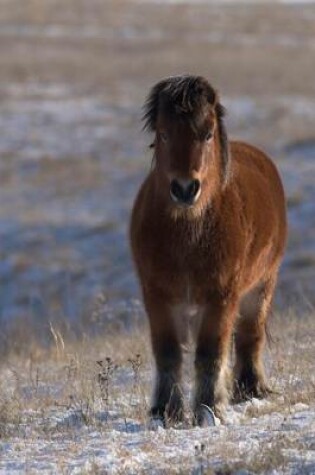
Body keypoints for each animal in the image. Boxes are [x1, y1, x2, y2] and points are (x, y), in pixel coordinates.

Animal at [130, 75, 288, 428]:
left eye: (207, 134)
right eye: (163, 133)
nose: (185, 188)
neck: (190, 235)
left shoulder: (221, 296)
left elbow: (210, 353)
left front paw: (207, 410)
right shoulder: (157, 295)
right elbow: (168, 353)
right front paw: (166, 411)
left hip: (262, 285)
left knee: (249, 336)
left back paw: (249, 389)